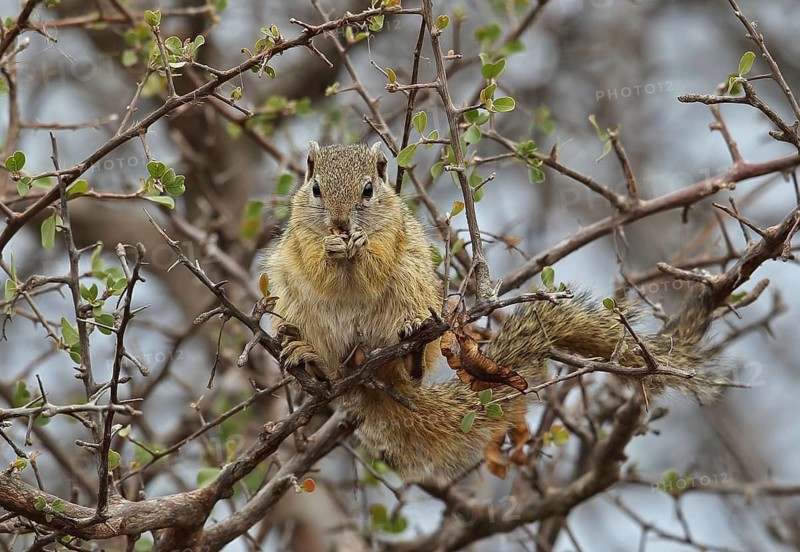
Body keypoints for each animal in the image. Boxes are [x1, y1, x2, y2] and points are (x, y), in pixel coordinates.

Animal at [264, 142, 724, 482]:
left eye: (367, 190)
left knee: (408, 364)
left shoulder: (395, 234)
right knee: (327, 366)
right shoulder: (299, 238)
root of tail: (367, 377)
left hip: (413, 290)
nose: (341, 224)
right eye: (315, 189)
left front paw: (358, 247)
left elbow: (377, 260)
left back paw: (409, 349)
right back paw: (307, 355)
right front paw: (331, 247)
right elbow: (314, 260)